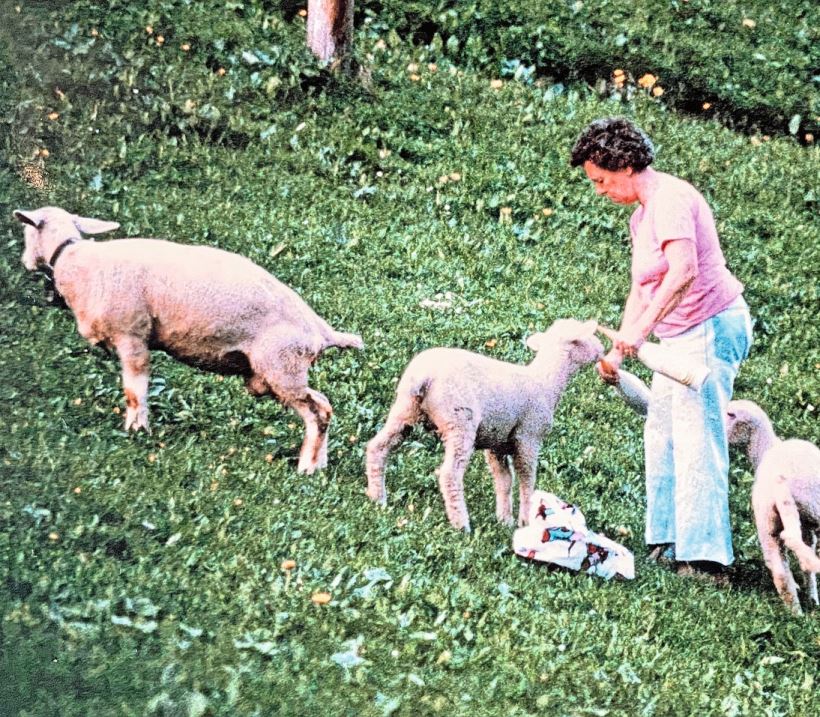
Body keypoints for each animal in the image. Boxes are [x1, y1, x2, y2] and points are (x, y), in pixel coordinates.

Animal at [13, 206, 362, 476]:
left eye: (27, 229)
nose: (24, 261)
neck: (74, 260)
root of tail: (320, 329)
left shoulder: (132, 337)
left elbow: (135, 391)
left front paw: (137, 430)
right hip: (281, 372)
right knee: (324, 404)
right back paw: (319, 464)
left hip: (282, 366)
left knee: (318, 412)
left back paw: (306, 467)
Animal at [366, 318, 604, 532]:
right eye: (587, 336)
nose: (602, 350)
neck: (546, 381)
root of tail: (422, 377)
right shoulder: (528, 437)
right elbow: (527, 479)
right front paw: (526, 521)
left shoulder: (496, 442)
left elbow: (504, 480)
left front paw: (504, 520)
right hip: (459, 420)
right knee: (450, 475)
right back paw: (461, 526)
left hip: (405, 410)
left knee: (377, 447)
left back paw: (377, 498)